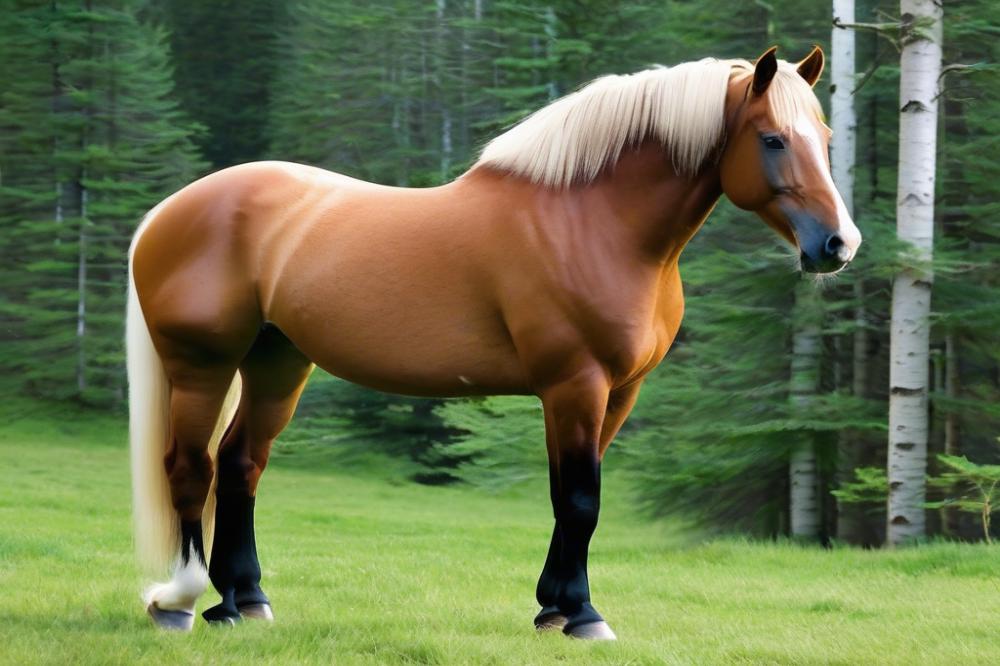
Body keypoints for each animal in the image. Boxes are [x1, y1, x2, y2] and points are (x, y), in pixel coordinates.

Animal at [128, 46, 861, 639]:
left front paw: (553, 608)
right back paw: (181, 603)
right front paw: (583, 616)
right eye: (772, 139)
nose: (838, 244)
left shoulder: (615, 392)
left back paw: (241, 602)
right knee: (191, 468)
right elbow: (580, 500)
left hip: (278, 362)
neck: (590, 221)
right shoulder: (575, 384)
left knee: (240, 464)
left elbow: (569, 497)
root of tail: (168, 211)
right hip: (203, 365)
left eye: (824, 136)